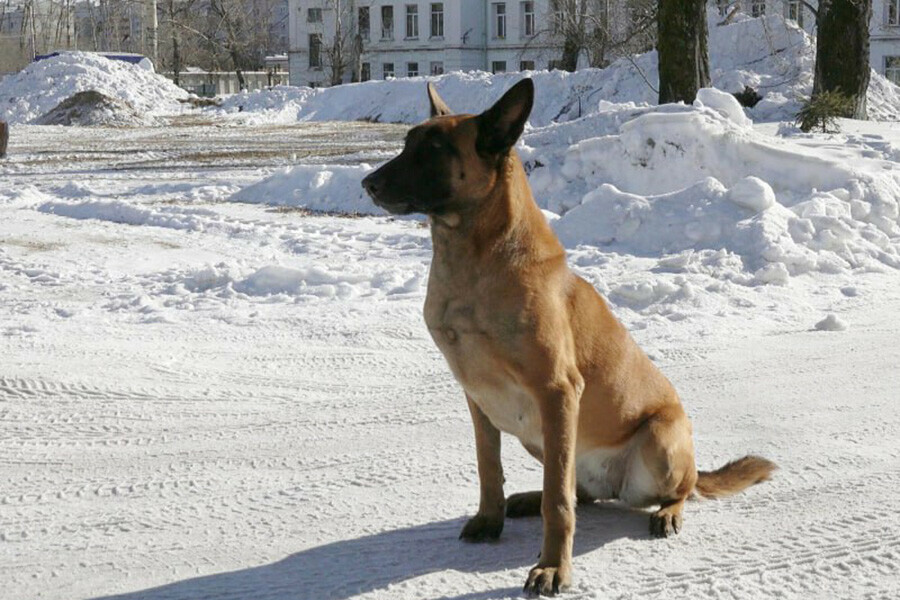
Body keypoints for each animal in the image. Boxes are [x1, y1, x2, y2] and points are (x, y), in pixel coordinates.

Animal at [362, 78, 776, 596]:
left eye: (435, 150)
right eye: (407, 144)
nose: (368, 184)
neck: (475, 259)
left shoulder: (556, 391)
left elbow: (557, 504)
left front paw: (553, 566)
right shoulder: (479, 401)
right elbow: (489, 470)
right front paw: (491, 519)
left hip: (656, 439)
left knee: (674, 489)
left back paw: (668, 512)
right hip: (536, 436)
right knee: (580, 492)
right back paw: (527, 498)